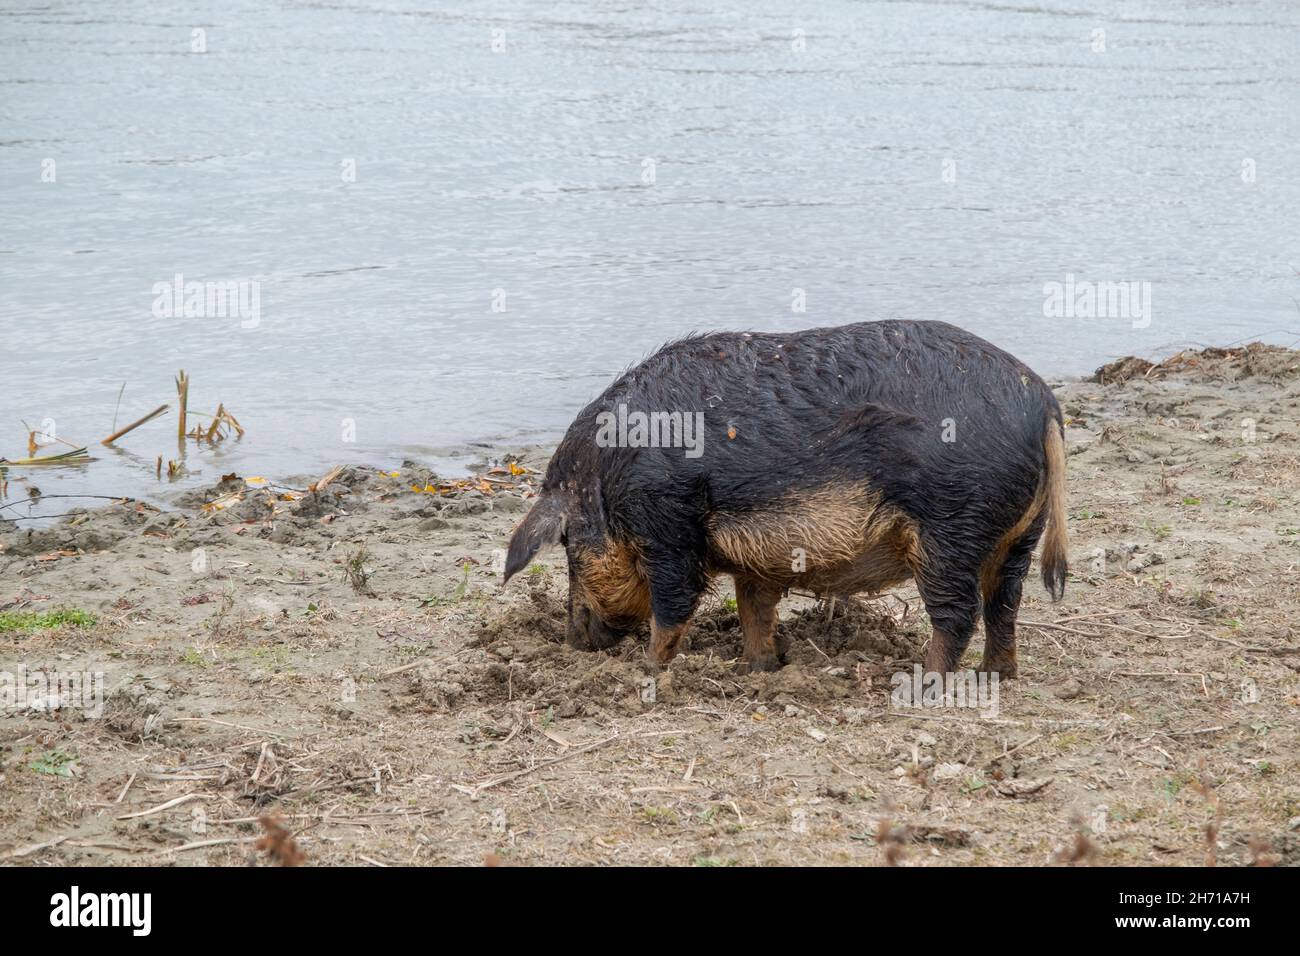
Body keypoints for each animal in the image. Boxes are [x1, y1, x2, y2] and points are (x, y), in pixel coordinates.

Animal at [501, 323, 1060, 681]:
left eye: (568, 544)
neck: (605, 477)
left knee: (958, 613)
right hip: (1017, 535)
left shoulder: (667, 525)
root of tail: (1043, 405)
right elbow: (755, 608)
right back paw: (996, 675)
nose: (573, 639)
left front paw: (650, 671)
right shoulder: (753, 557)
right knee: (1004, 603)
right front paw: (757, 669)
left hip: (952, 526)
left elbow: (673, 606)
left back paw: (926, 681)